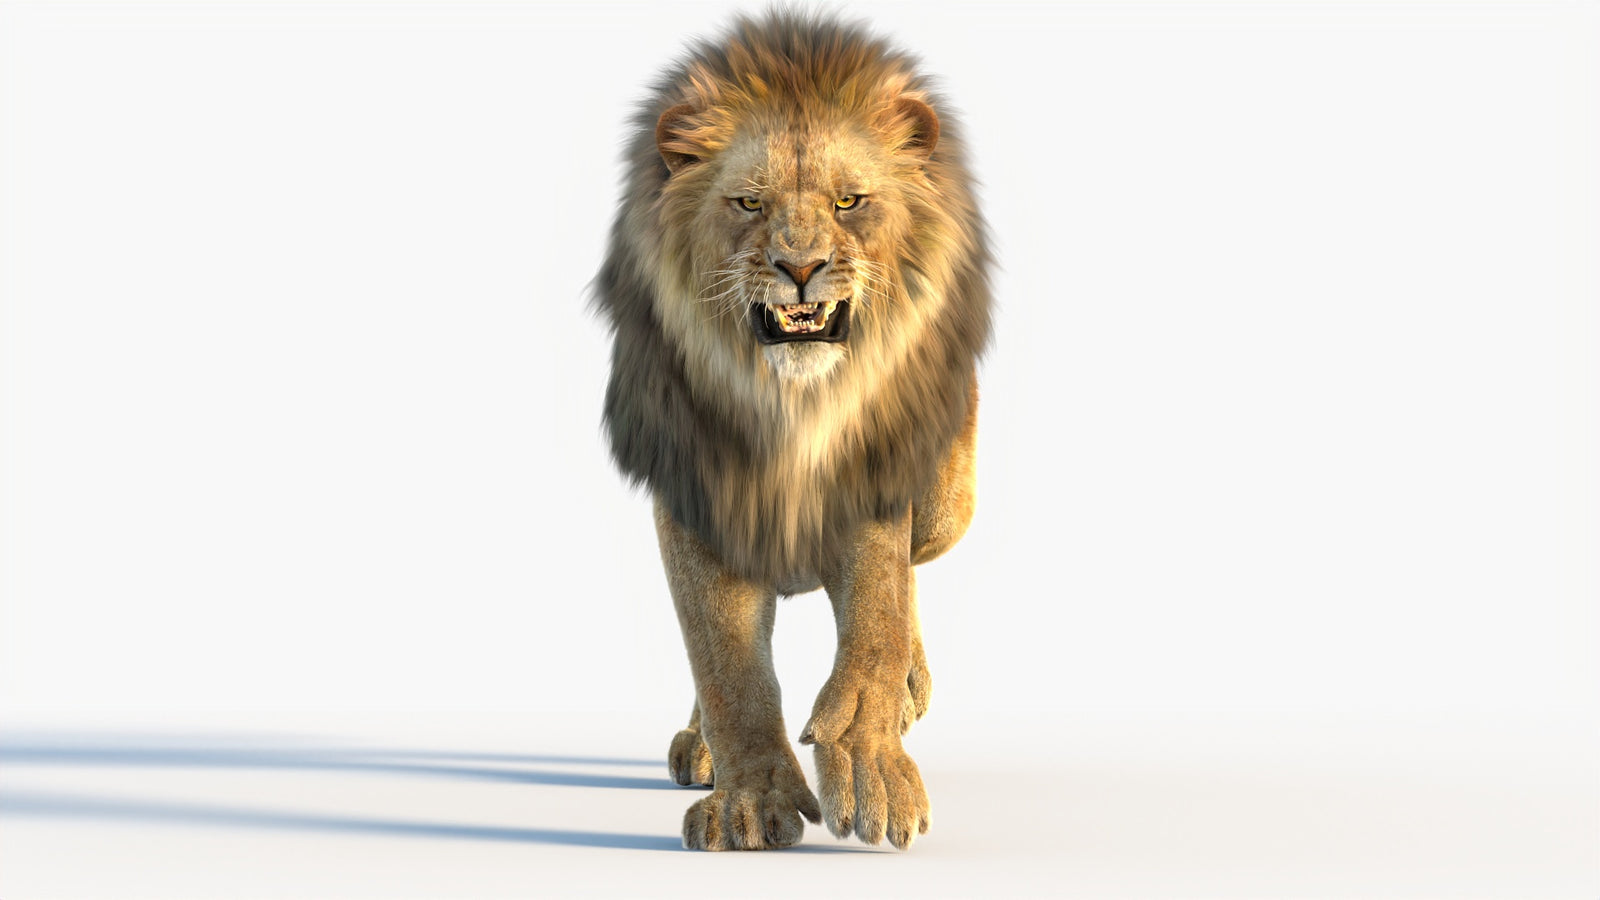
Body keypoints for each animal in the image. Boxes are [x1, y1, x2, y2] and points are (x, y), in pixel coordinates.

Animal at [592, 11, 991, 851]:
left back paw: (910, 690)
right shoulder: (698, 496)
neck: (788, 407)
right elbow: (726, 663)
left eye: (849, 201)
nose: (799, 268)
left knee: (914, 569)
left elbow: (877, 617)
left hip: (951, 502)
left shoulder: (874, 476)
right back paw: (701, 746)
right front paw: (749, 806)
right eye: (748, 204)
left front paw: (872, 768)